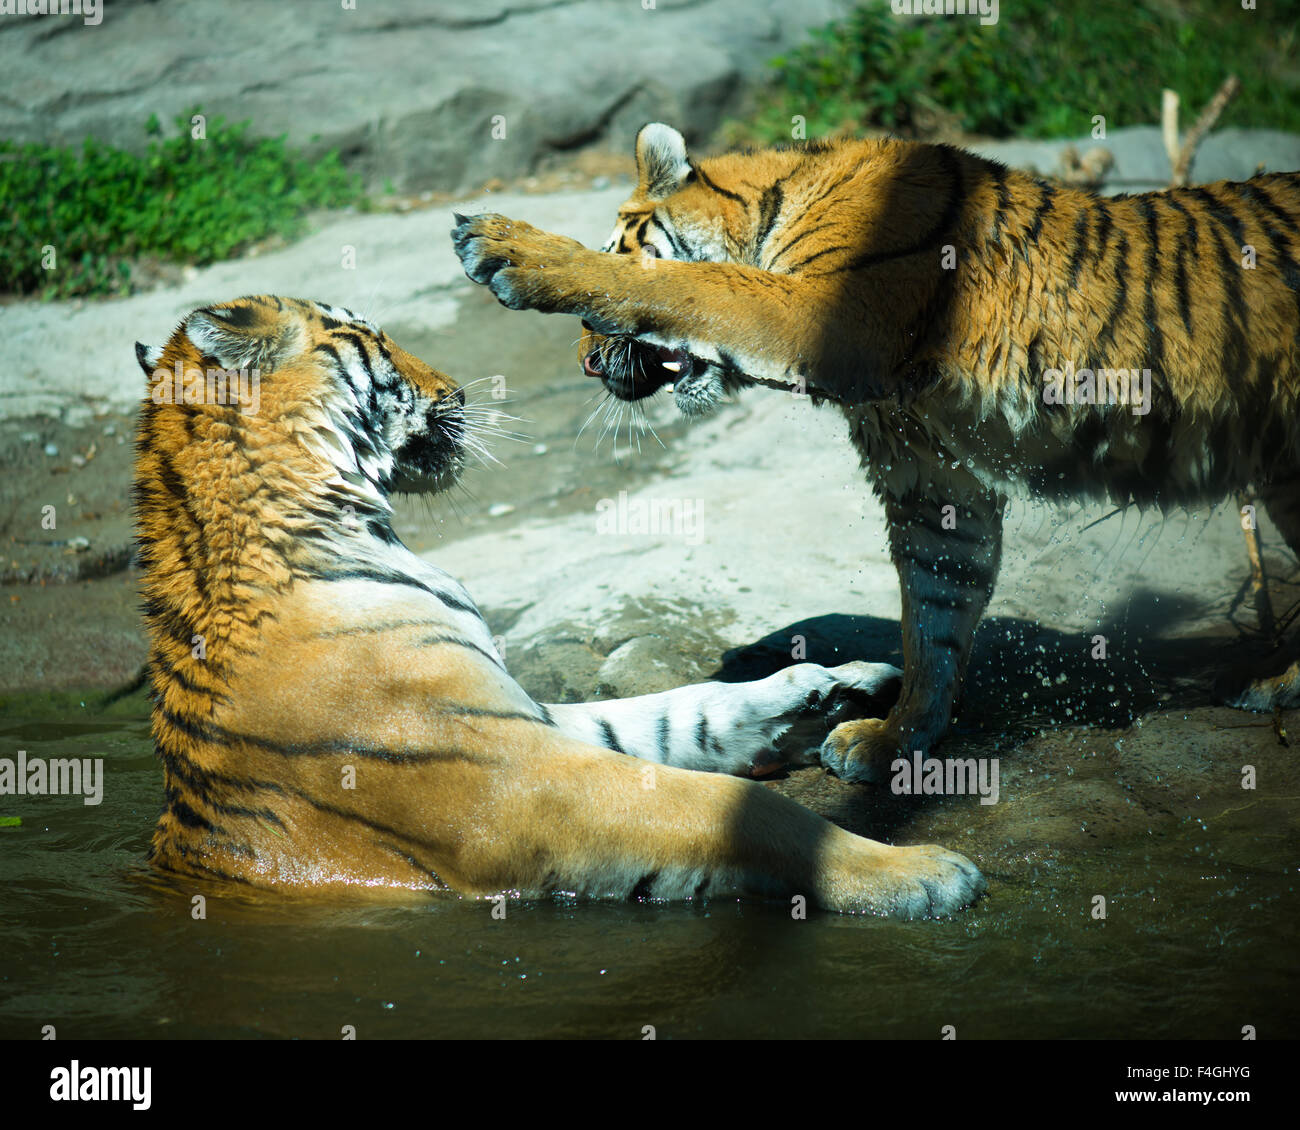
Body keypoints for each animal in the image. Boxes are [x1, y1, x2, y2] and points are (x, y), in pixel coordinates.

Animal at [134, 292, 982, 915]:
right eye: (372, 338)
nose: (459, 390)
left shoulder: (523, 722)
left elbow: (676, 713)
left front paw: (839, 689)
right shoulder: (513, 789)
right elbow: (733, 804)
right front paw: (925, 875)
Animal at [454, 118, 1300, 780]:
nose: (587, 366)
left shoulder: (826, 314)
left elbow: (687, 287)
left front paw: (510, 250)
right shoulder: (930, 474)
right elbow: (934, 616)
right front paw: (896, 741)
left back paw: (1272, 686)